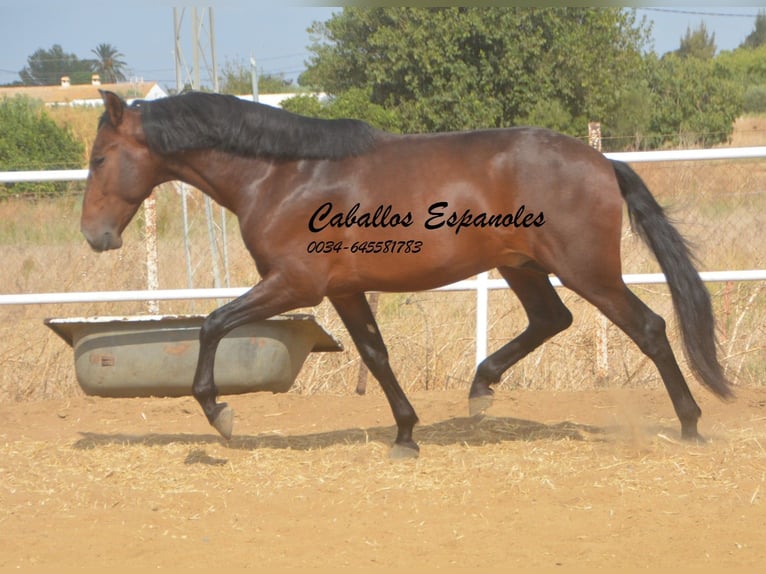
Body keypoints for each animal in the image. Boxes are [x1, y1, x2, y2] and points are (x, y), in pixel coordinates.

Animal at [81, 90, 736, 460]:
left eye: (100, 157)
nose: (95, 235)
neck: (283, 175)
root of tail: (602, 160)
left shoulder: (296, 284)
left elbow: (214, 324)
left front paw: (220, 415)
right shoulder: (344, 289)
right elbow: (376, 355)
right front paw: (405, 435)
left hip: (586, 269)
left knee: (648, 328)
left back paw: (692, 424)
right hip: (521, 266)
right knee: (553, 319)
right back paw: (480, 390)